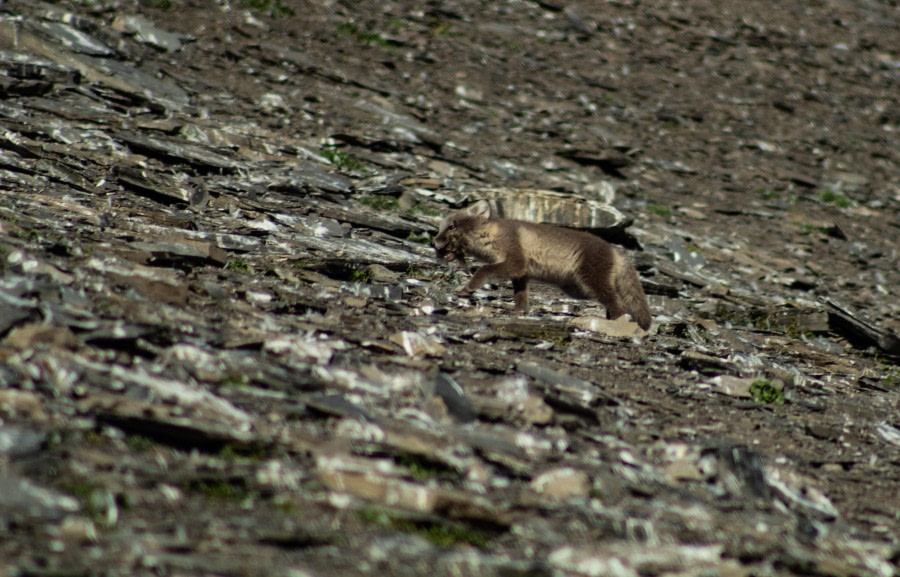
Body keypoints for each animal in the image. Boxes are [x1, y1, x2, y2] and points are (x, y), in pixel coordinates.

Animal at [432, 200, 652, 328]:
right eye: (441, 227)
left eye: (452, 226)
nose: (434, 243)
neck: (491, 235)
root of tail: (616, 251)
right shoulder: (521, 274)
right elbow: (521, 296)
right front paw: (518, 312)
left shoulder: (516, 260)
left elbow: (484, 270)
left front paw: (466, 289)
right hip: (577, 289)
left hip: (591, 281)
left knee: (618, 303)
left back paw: (616, 323)